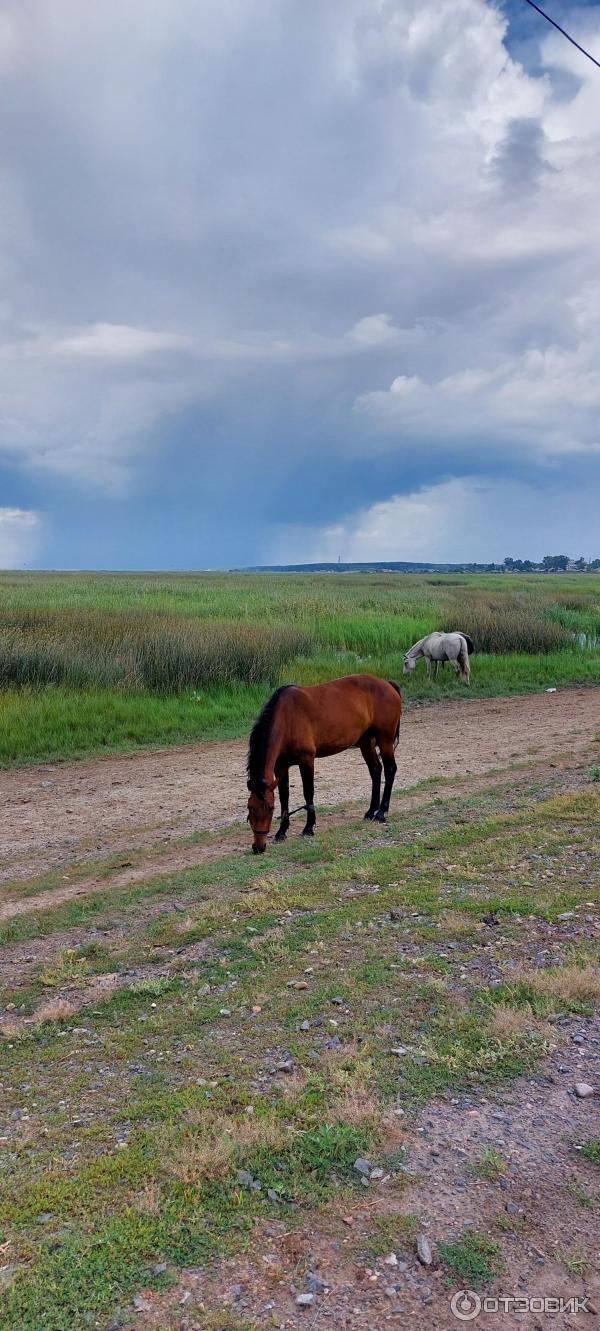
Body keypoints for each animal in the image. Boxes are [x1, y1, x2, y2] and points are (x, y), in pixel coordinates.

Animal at [246, 676, 401, 851]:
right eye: (250, 808)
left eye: (270, 809)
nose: (258, 847)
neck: (287, 719)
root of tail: (388, 684)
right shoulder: (280, 767)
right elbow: (284, 797)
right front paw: (281, 832)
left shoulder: (306, 760)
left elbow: (308, 793)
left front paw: (309, 828)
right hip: (366, 742)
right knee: (375, 770)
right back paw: (371, 811)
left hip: (385, 740)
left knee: (390, 769)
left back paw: (382, 813)